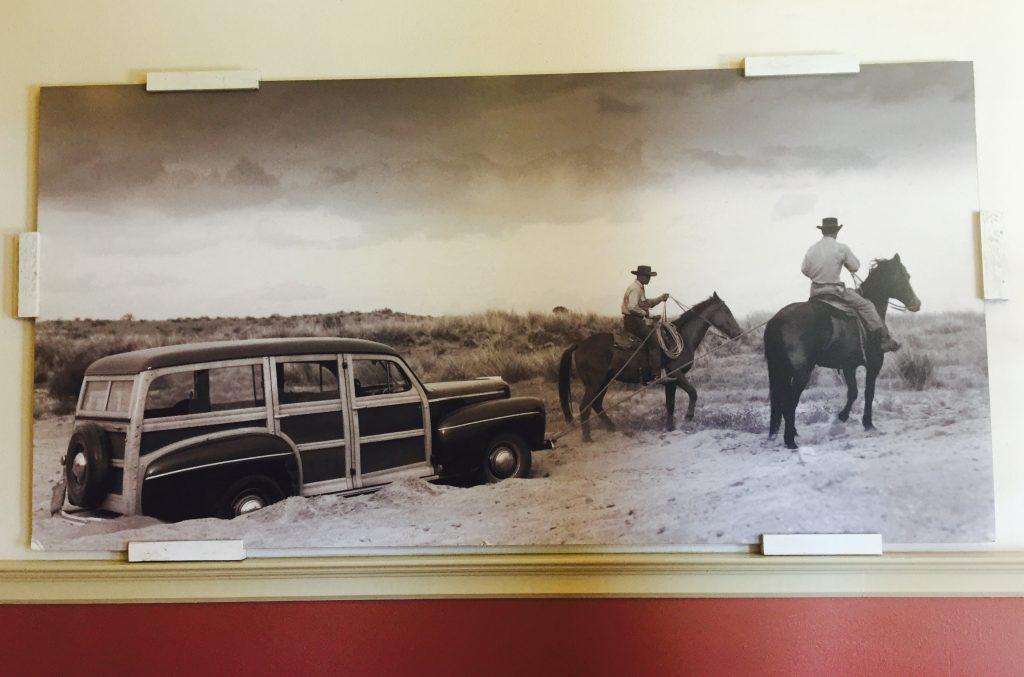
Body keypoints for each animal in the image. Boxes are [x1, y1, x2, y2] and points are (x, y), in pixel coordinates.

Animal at [561, 290, 745, 440]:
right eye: (726, 310)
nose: (739, 333)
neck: (683, 339)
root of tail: (580, 344)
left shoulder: (671, 381)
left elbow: (670, 404)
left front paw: (670, 428)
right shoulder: (677, 374)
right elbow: (693, 392)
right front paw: (688, 416)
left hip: (604, 381)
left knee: (596, 404)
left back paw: (612, 428)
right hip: (595, 383)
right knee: (584, 407)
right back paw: (587, 438)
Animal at [765, 254, 925, 448]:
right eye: (905, 276)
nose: (917, 303)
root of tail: (777, 320)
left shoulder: (849, 366)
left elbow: (853, 393)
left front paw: (841, 417)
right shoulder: (874, 363)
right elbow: (868, 392)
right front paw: (868, 424)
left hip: (780, 369)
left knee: (780, 399)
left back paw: (782, 433)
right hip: (801, 372)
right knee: (789, 401)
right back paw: (790, 440)